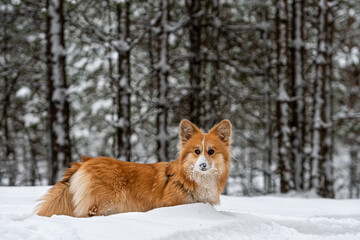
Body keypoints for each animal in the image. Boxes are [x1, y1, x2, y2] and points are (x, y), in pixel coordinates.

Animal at [35, 120, 231, 218]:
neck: (189, 179)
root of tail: (84, 162)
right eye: (197, 151)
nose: (202, 165)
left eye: (211, 151)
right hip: (102, 204)